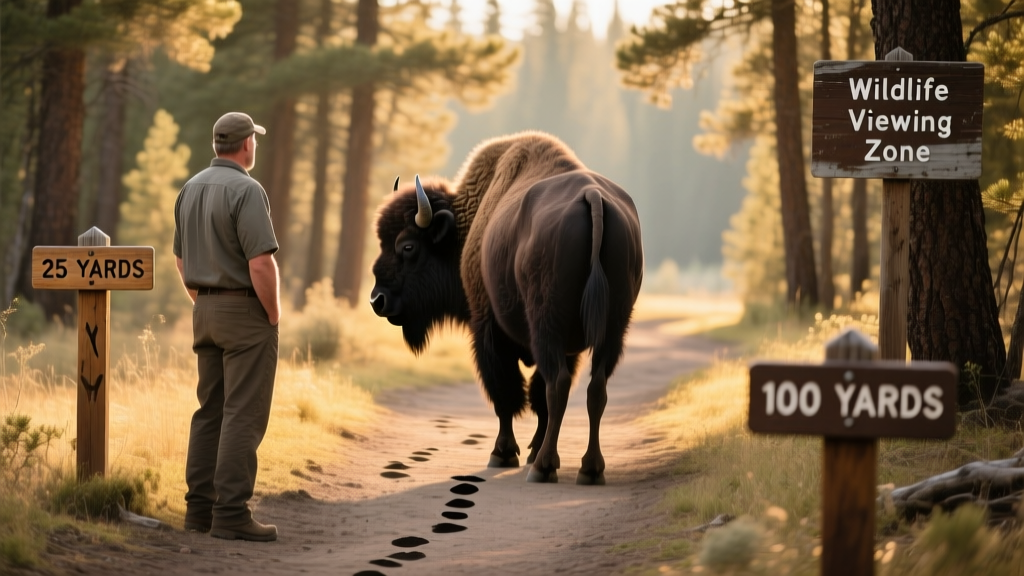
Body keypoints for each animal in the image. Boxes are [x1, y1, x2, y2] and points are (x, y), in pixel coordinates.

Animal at [370, 131, 643, 484]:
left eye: (407, 246)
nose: (377, 300)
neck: (466, 222)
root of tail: (593, 197)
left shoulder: (487, 330)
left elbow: (506, 393)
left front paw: (503, 454)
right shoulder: (572, 346)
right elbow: (535, 397)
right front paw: (530, 450)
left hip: (547, 326)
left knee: (557, 386)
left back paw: (544, 468)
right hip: (613, 328)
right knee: (595, 388)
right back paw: (589, 468)